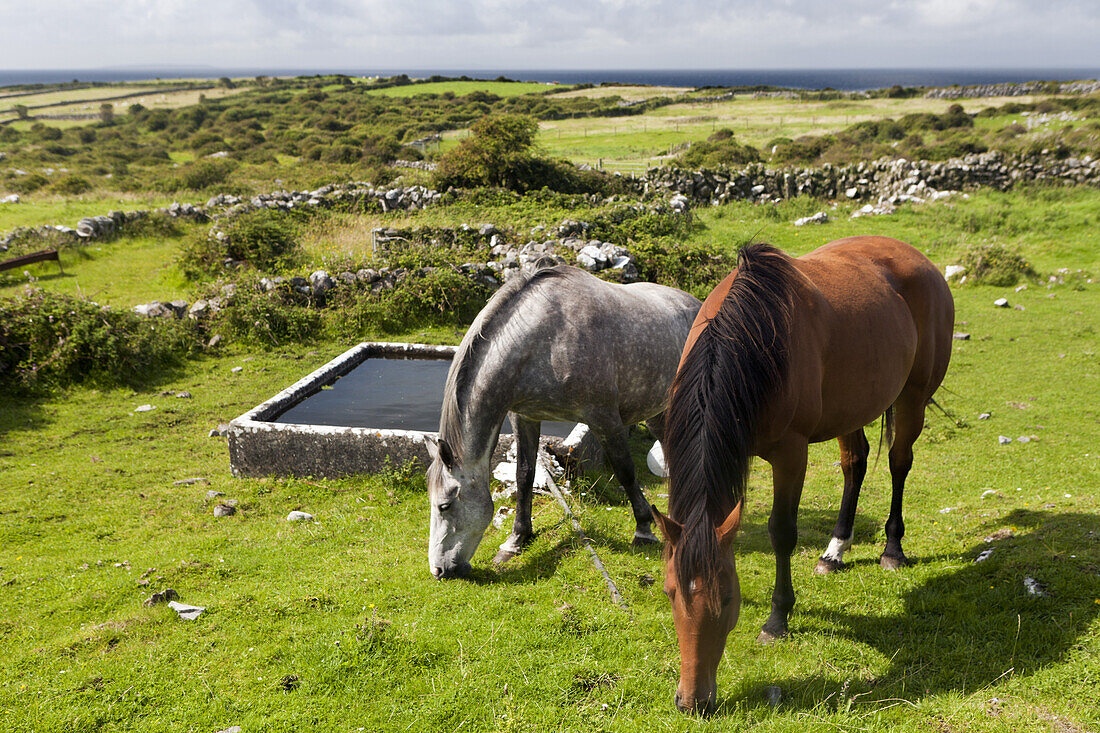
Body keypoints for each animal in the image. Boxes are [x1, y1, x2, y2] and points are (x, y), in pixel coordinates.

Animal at [424, 263, 699, 576]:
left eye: (445, 505)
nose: (438, 570)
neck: (546, 340)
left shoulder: (604, 417)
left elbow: (625, 470)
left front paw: (643, 530)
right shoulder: (524, 416)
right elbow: (524, 475)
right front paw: (516, 540)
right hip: (656, 410)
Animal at [651, 236, 954, 708]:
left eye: (728, 597)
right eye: (670, 592)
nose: (692, 700)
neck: (751, 340)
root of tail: (916, 257)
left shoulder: (791, 454)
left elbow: (782, 533)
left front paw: (777, 619)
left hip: (913, 398)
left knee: (898, 463)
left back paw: (892, 549)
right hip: (854, 407)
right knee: (855, 464)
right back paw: (835, 552)